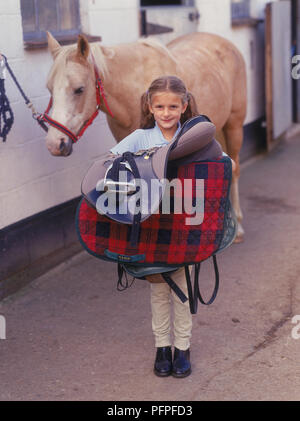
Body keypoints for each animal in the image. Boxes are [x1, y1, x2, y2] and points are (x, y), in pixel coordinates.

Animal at [45, 31, 246, 241]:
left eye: (79, 89)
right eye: (49, 89)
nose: (55, 143)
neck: (133, 92)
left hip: (234, 125)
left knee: (235, 168)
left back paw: (237, 227)